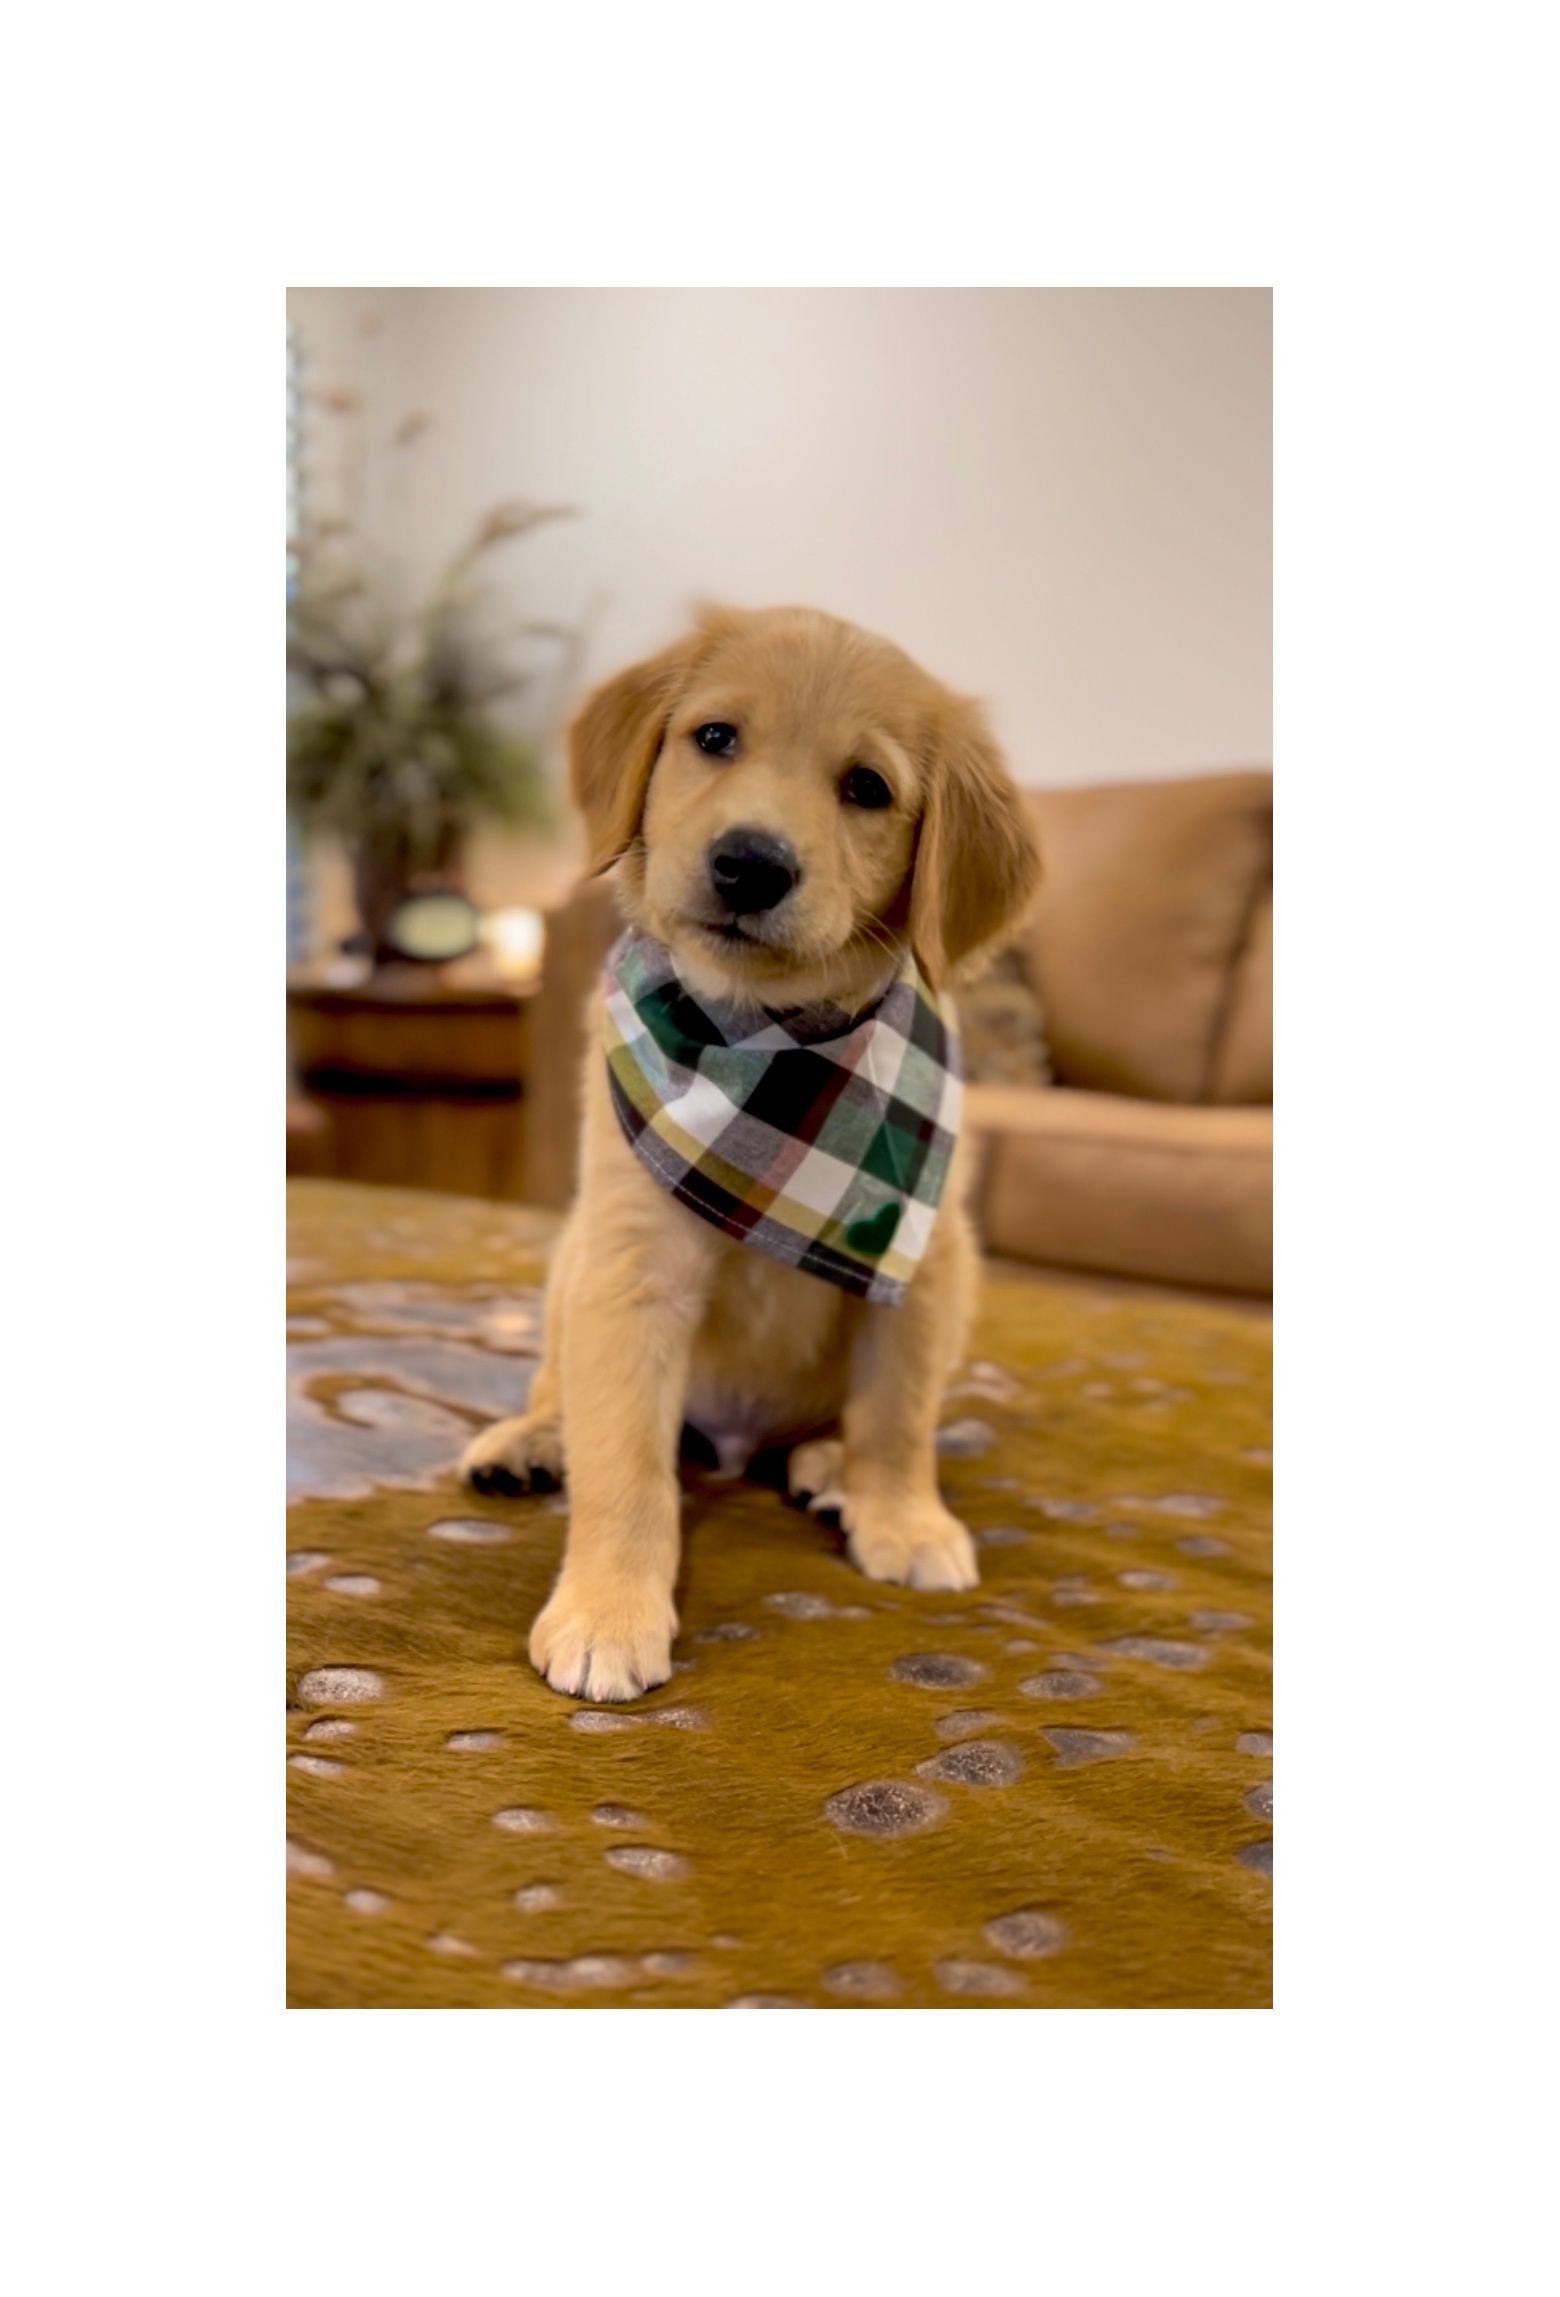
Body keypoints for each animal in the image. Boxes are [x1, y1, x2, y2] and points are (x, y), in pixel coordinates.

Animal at [460, 604, 1041, 1700]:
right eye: (716, 737)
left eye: (868, 788)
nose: (751, 863)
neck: (762, 1039)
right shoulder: (631, 1266)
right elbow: (626, 1466)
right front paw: (609, 1610)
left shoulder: (927, 1261)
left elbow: (898, 1413)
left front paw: (903, 1516)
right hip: (570, 1258)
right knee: (559, 1382)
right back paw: (532, 1439)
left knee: (843, 1422)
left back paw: (826, 1467)